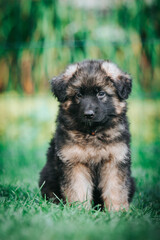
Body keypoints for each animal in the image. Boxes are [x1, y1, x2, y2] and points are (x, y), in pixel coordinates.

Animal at [39, 59, 135, 210]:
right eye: (79, 95)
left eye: (101, 93)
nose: (88, 114)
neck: (92, 132)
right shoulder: (74, 162)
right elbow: (78, 190)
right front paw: (79, 211)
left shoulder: (115, 161)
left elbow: (116, 190)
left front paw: (118, 211)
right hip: (46, 179)